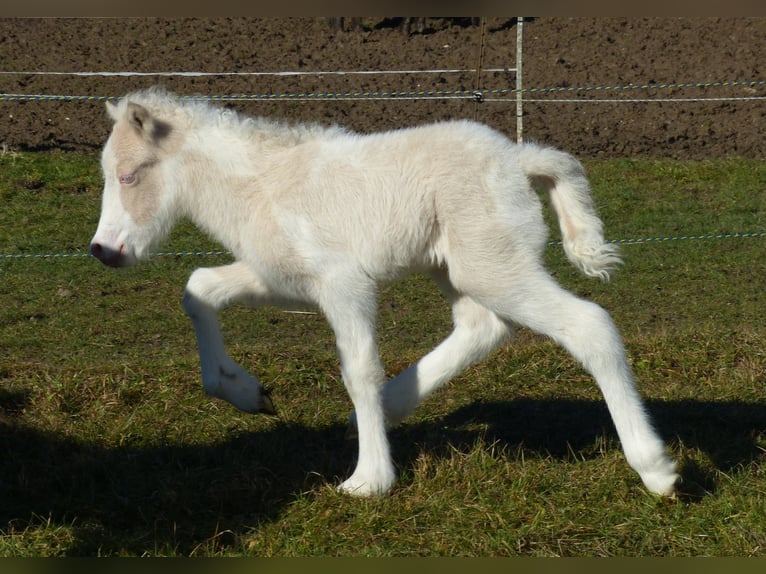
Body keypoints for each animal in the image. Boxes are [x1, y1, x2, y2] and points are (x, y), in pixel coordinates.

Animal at [90, 87, 679, 498]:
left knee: (588, 325)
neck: (261, 185)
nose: (103, 250)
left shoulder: (342, 282)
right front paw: (246, 392)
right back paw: (392, 406)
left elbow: (358, 371)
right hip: (455, 266)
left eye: (129, 175)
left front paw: (369, 480)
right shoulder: (281, 277)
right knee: (483, 326)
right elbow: (199, 289)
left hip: (491, 265)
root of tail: (518, 161)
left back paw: (655, 469)